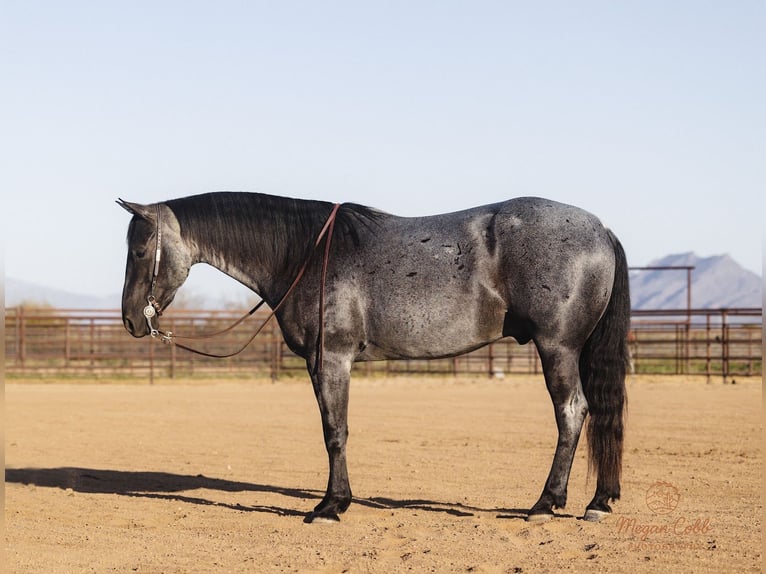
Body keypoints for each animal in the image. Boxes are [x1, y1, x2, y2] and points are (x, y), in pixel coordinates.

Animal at [118, 192, 629, 524]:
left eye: (140, 249)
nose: (130, 320)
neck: (304, 253)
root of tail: (602, 230)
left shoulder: (330, 360)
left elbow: (334, 432)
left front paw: (330, 506)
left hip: (557, 347)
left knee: (572, 413)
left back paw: (546, 503)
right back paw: (598, 501)